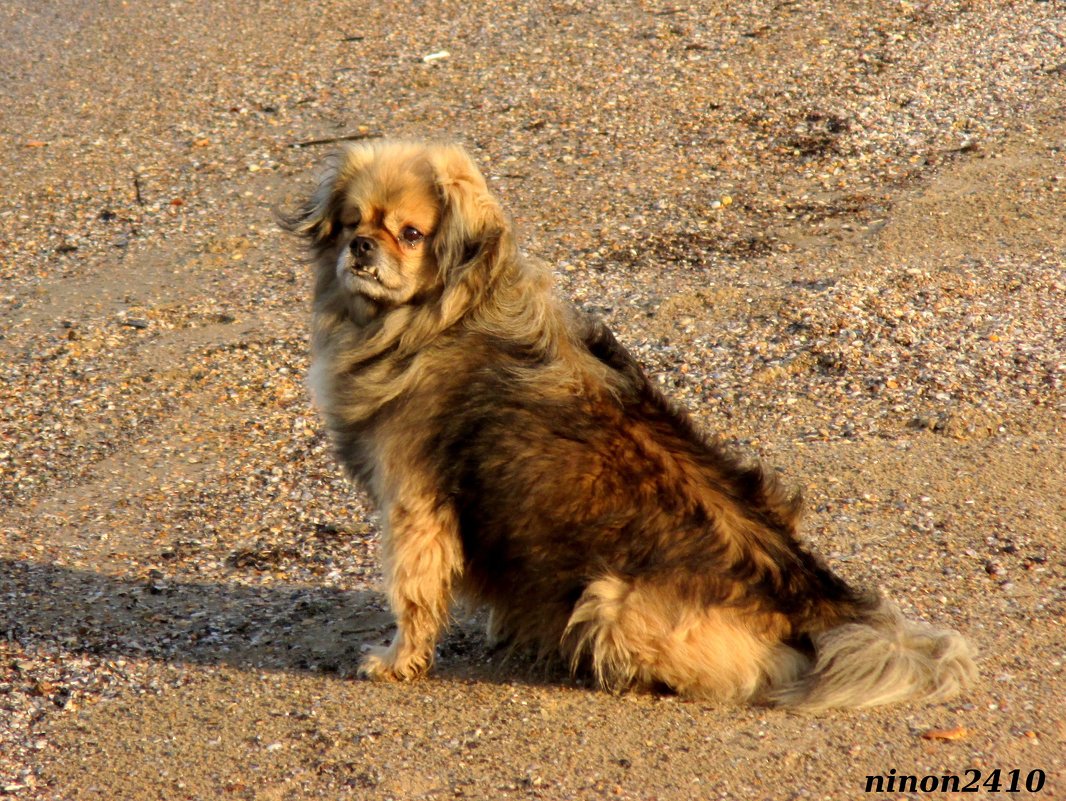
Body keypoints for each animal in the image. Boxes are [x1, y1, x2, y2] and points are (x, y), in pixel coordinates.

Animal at [281, 140, 976, 712]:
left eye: (410, 233)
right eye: (353, 223)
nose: (361, 247)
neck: (439, 316)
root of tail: (815, 598)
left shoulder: (414, 507)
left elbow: (413, 596)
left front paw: (397, 661)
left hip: (608, 599)